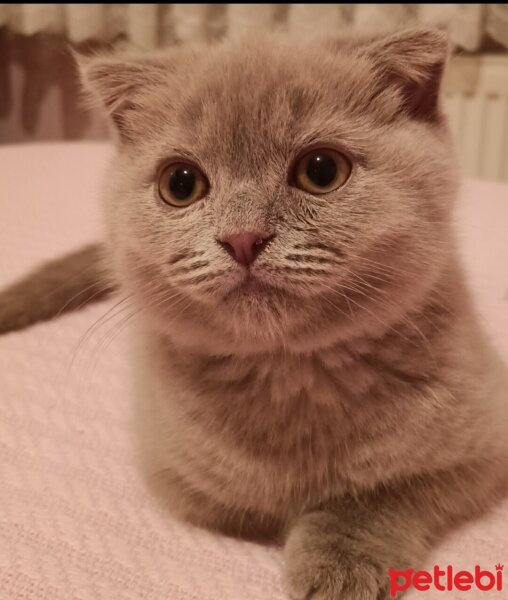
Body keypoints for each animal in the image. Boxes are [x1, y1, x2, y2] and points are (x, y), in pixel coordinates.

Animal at [0, 28, 508, 600]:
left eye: (321, 170)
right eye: (180, 184)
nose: (243, 238)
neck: (293, 378)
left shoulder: (483, 448)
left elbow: (382, 493)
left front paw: (341, 563)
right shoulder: (182, 481)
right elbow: (253, 504)